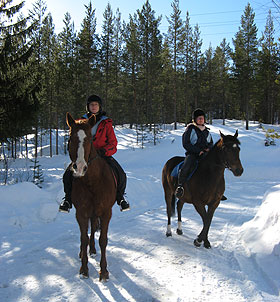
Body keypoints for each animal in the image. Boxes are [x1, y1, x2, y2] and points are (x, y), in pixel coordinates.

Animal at [66, 112, 116, 280]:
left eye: (89, 138)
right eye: (71, 138)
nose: (80, 167)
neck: (92, 182)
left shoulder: (106, 212)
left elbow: (103, 240)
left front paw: (104, 271)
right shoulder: (81, 212)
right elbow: (84, 238)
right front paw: (84, 269)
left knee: (94, 228)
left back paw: (93, 250)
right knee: (88, 232)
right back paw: (84, 252)